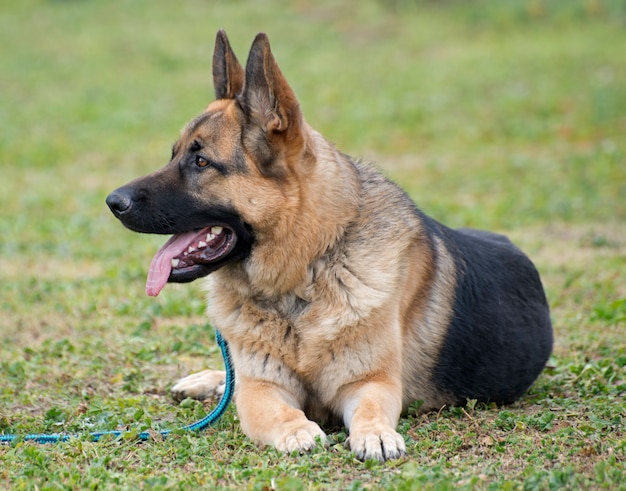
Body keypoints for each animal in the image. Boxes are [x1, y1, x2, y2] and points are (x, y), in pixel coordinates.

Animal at [107, 31, 552, 466]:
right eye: (175, 155)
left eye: (201, 162)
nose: (112, 202)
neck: (307, 272)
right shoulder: (261, 388)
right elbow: (274, 407)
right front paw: (296, 430)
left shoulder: (370, 381)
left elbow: (371, 408)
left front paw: (376, 435)